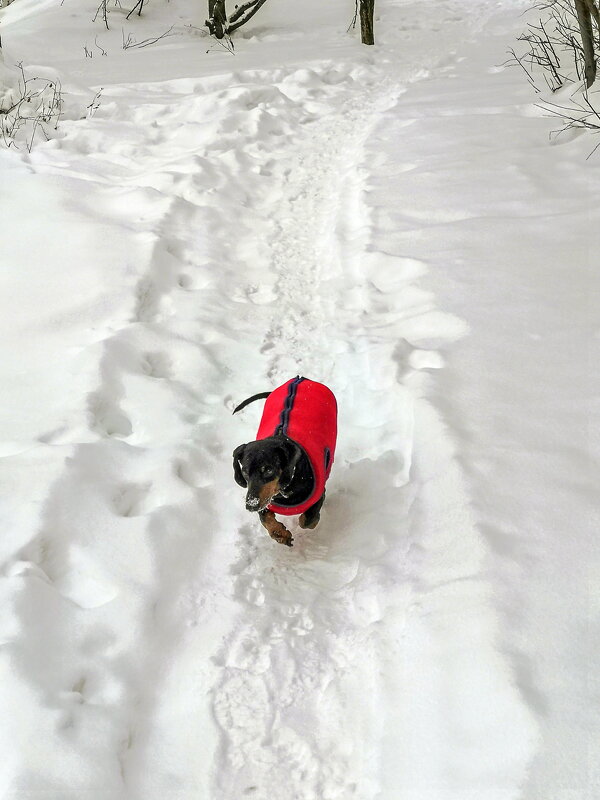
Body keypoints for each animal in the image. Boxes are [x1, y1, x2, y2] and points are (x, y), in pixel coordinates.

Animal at [232, 378, 338, 548]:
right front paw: (279, 533)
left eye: (268, 470)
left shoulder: (319, 494)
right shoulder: (265, 500)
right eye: (245, 472)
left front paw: (313, 520)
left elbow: (306, 520)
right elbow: (265, 517)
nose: (251, 505)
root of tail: (300, 378)